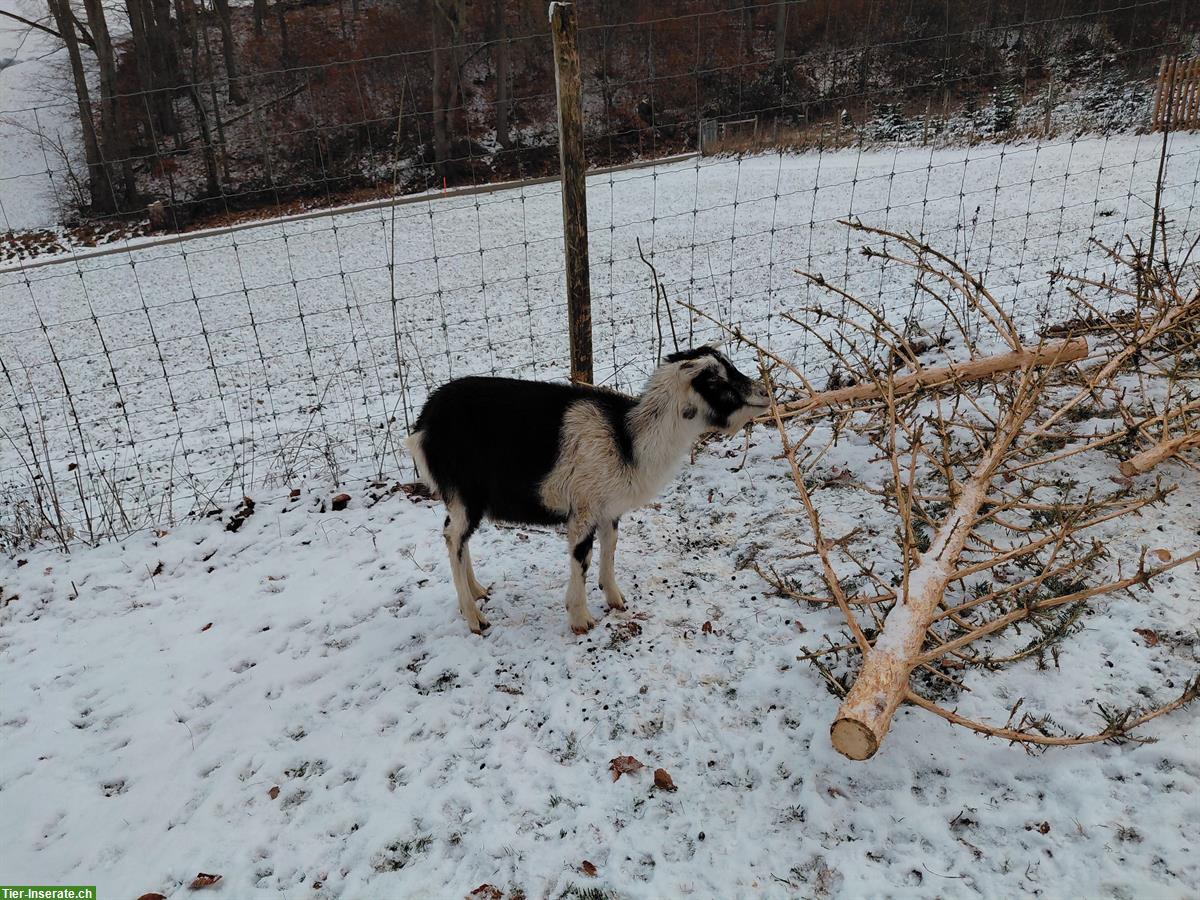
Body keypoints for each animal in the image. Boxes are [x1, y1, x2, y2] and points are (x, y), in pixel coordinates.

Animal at [405, 346, 771, 634]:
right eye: (716, 381)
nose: (765, 392)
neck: (629, 440)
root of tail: (423, 424)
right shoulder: (582, 510)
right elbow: (583, 559)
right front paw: (581, 619)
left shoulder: (608, 510)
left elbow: (610, 550)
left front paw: (616, 599)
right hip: (463, 493)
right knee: (453, 537)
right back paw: (474, 617)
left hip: (463, 498)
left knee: (457, 537)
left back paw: (478, 591)